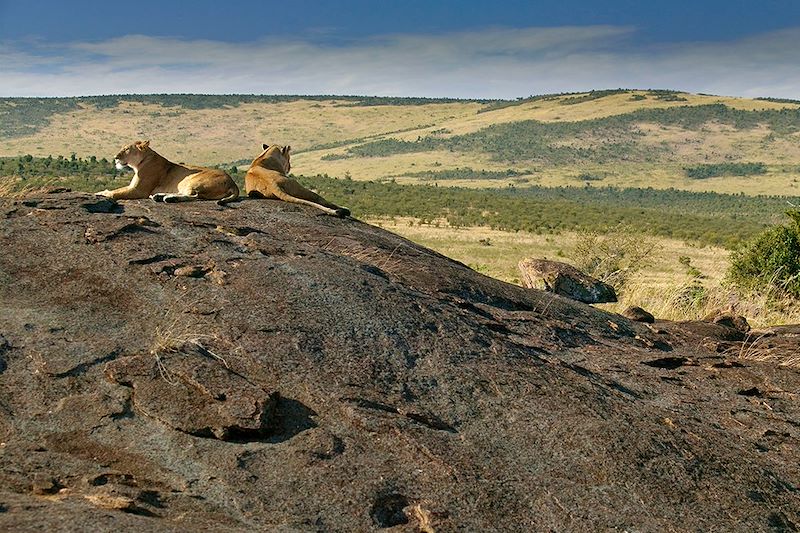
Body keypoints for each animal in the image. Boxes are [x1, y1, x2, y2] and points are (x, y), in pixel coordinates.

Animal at [96, 140, 238, 205]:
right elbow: (117, 190)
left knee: (195, 195)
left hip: (193, 180)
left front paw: (102, 193)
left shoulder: (138, 190)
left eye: (126, 149)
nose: (115, 157)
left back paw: (169, 198)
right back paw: (159, 196)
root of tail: (233, 183)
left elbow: (115, 193)